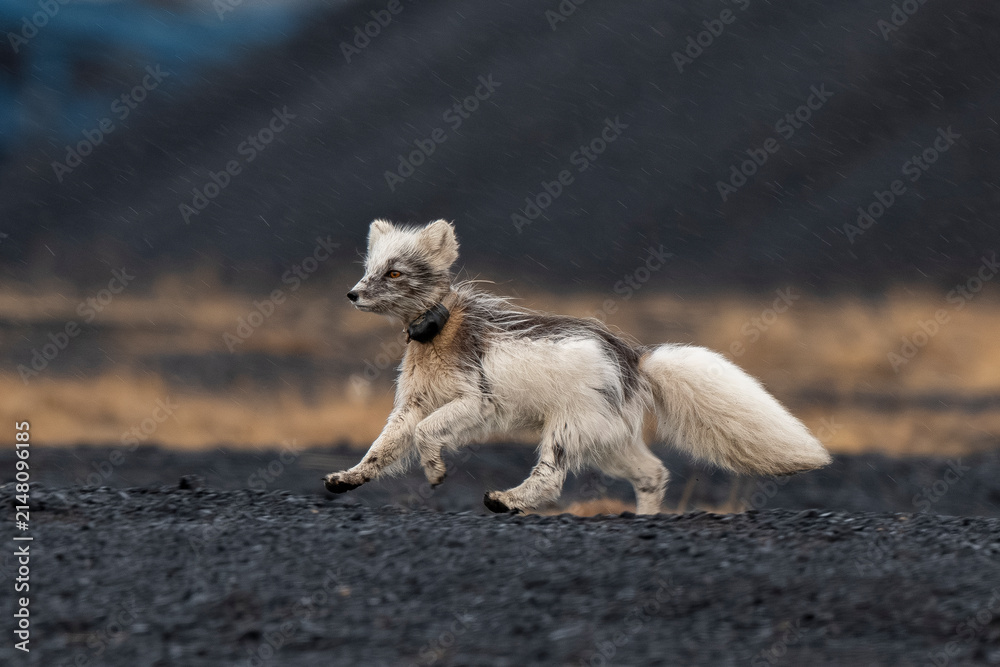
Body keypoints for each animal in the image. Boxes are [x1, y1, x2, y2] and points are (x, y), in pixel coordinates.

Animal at [323, 219, 831, 514]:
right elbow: (384, 446)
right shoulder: (412, 403)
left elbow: (427, 434)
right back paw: (643, 518)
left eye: (395, 272)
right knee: (653, 472)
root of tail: (634, 358)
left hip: (570, 428)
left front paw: (434, 473)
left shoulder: (477, 401)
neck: (440, 330)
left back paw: (507, 501)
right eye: (368, 267)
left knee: (551, 477)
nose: (352, 293)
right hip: (606, 439)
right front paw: (348, 478)